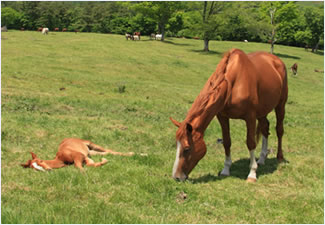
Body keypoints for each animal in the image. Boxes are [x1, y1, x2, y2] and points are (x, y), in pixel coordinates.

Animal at [170, 48, 286, 182]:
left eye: (187, 149)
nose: (177, 176)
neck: (233, 83)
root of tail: (276, 60)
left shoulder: (250, 117)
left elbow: (250, 142)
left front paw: (252, 173)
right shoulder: (222, 117)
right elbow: (226, 141)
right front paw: (226, 170)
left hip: (280, 105)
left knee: (279, 130)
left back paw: (280, 157)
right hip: (262, 111)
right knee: (265, 128)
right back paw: (261, 159)